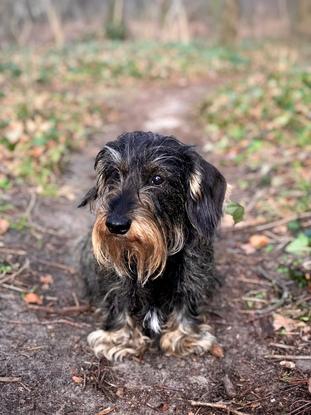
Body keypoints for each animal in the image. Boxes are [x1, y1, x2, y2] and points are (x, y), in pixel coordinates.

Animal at [79, 132, 228, 360]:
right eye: (115, 174)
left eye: (157, 179)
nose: (115, 225)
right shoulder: (116, 276)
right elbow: (119, 298)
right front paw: (119, 338)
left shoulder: (194, 270)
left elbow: (186, 298)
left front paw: (184, 336)